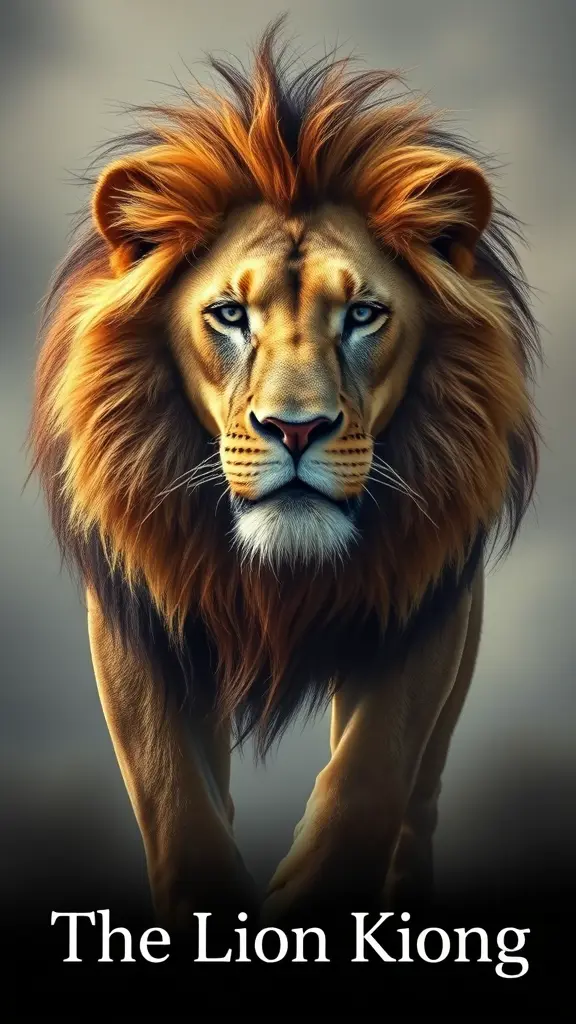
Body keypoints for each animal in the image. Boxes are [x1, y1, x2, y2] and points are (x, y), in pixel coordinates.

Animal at [29, 20, 540, 933]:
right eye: (229, 314)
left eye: (363, 314)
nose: (295, 429)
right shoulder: (138, 617)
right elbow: (178, 803)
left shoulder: (420, 602)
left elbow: (369, 780)